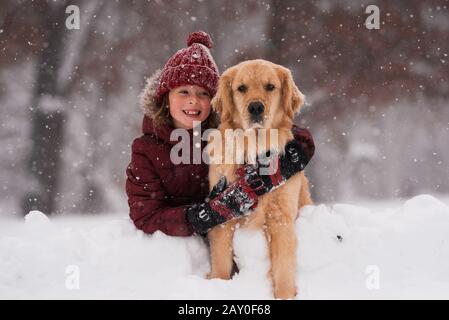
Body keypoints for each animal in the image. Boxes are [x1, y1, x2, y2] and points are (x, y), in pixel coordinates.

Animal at [206, 58, 312, 298]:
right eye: (241, 88)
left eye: (270, 86)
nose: (255, 107)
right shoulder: (221, 217)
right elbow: (221, 265)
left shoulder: (281, 219)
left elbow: (283, 270)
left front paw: (285, 295)